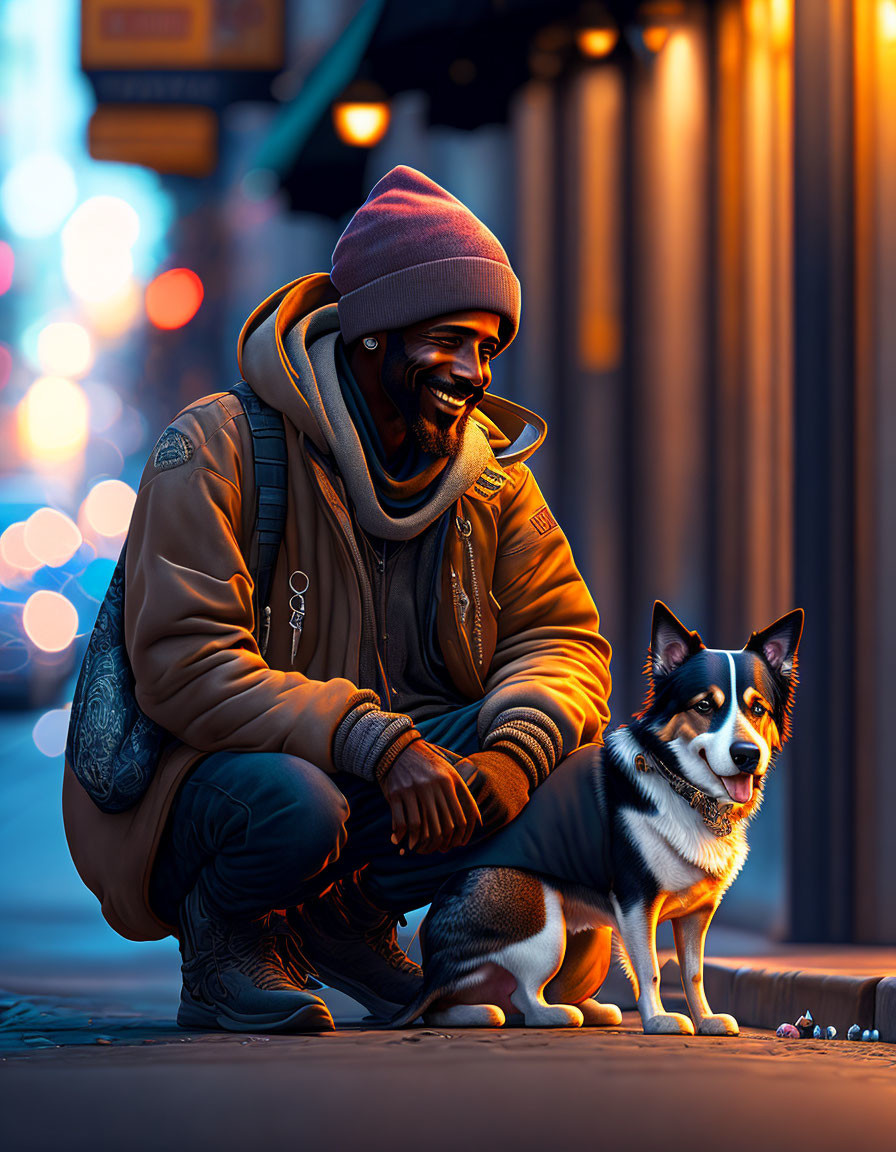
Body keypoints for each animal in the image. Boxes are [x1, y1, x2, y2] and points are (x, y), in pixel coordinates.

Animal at [393, 603, 801, 1036]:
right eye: (704, 706)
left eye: (758, 709)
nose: (747, 755)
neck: (680, 785)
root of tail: (432, 968)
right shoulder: (636, 901)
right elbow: (651, 969)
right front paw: (658, 1020)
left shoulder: (696, 914)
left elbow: (693, 973)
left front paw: (705, 1019)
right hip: (545, 922)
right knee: (523, 998)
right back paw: (559, 1014)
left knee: (451, 1007)